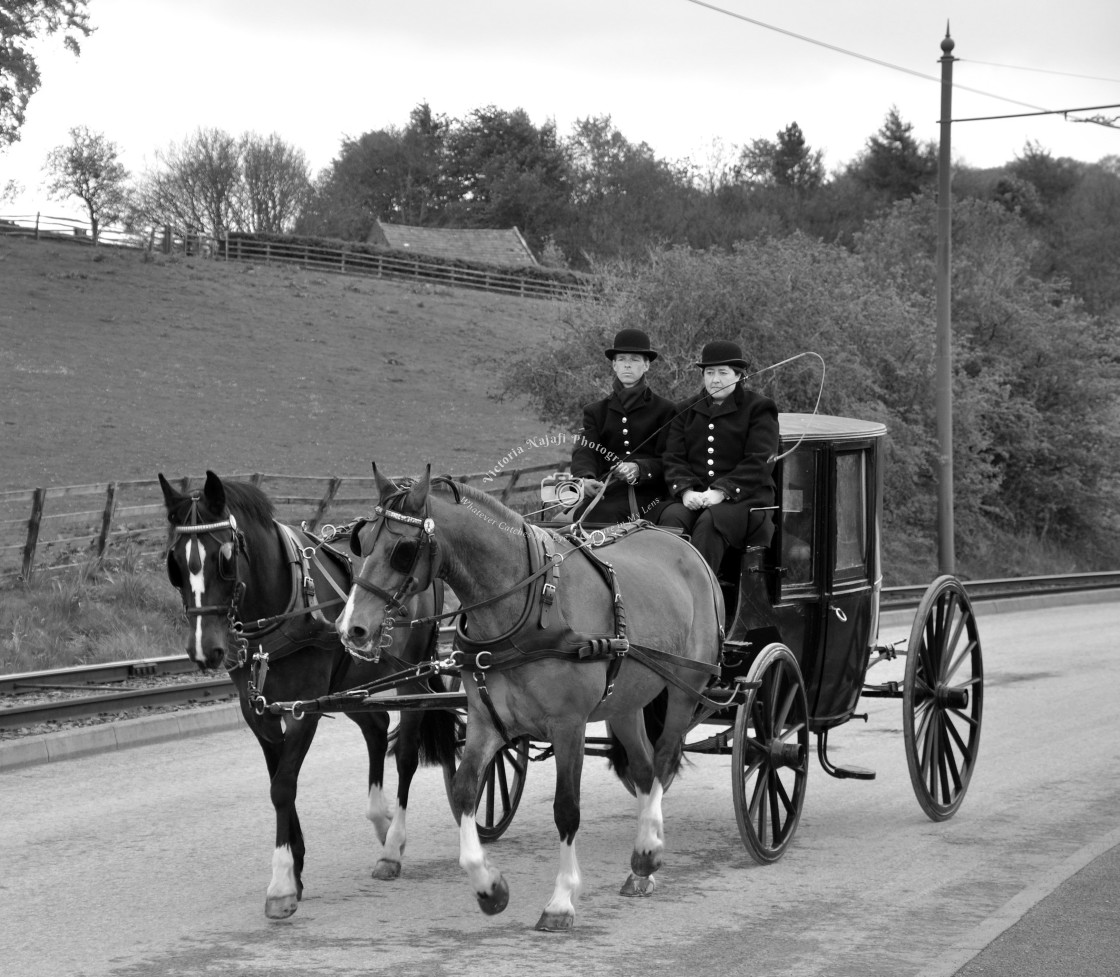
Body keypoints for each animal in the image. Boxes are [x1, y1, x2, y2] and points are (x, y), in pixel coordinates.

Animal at [159, 468, 459, 918]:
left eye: (224, 558)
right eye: (175, 563)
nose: (204, 650)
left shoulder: (304, 709)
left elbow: (283, 786)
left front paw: (282, 882)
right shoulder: (259, 710)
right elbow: (277, 782)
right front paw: (296, 868)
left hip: (409, 676)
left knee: (405, 754)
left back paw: (393, 846)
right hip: (352, 681)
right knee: (375, 727)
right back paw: (380, 818)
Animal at [336, 466, 721, 932]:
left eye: (402, 550)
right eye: (361, 540)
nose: (351, 629)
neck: (527, 605)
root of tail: (682, 545)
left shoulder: (569, 725)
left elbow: (567, 809)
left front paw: (561, 901)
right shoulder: (485, 720)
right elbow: (465, 792)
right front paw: (489, 888)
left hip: (685, 686)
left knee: (664, 762)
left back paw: (647, 855)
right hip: (625, 702)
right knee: (646, 770)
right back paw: (641, 862)